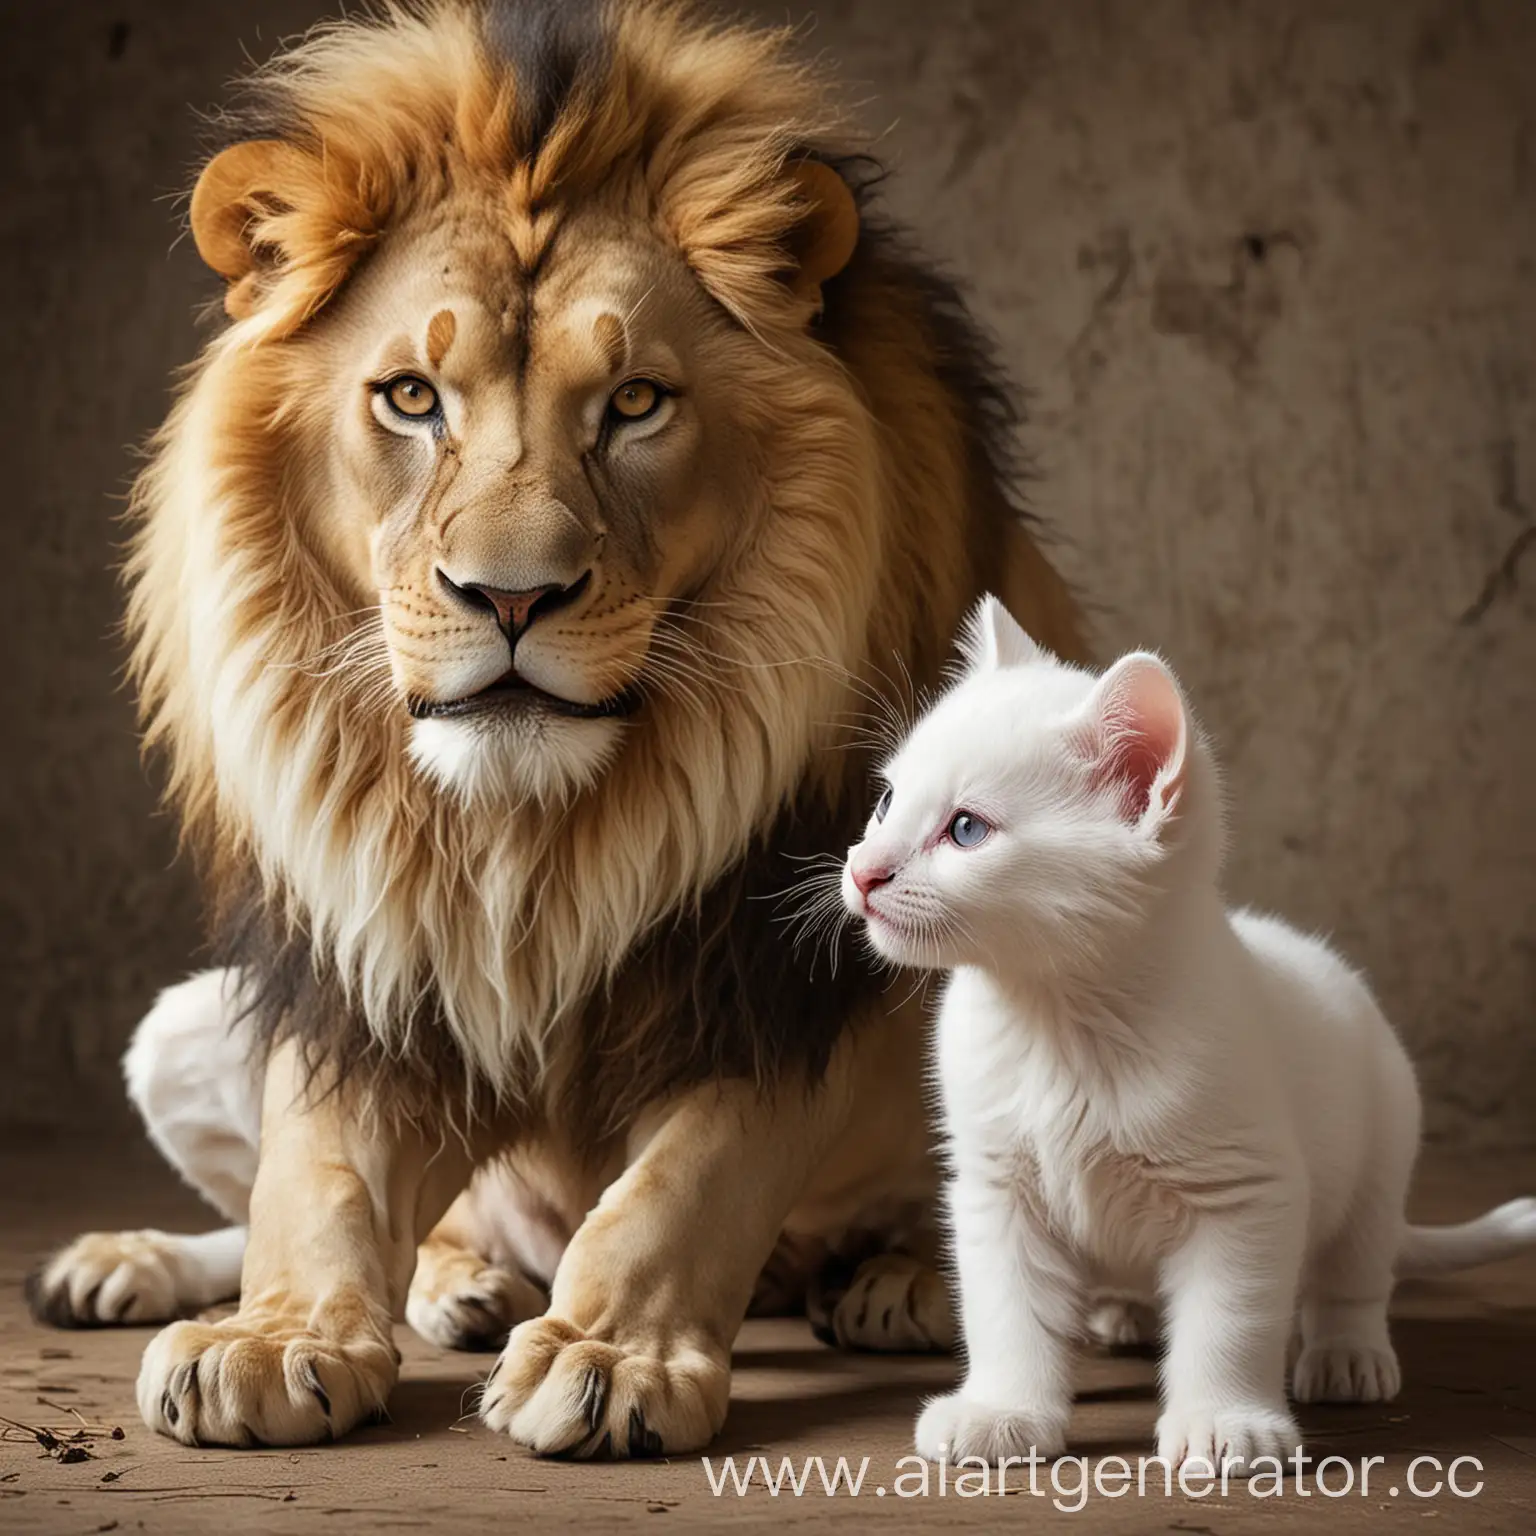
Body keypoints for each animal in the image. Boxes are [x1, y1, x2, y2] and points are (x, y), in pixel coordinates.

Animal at [24, 0, 1087, 1449]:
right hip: (179, 1032)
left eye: (634, 403)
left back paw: (911, 1283)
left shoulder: (773, 961)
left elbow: (685, 1180)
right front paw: (273, 1336)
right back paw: (268, 1272)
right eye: (412, 397)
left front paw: (608, 1356)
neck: (526, 828)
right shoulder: (361, 945)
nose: (512, 596)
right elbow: (312, 1172)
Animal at [847, 595, 1536, 1474]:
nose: (863, 870)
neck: (1060, 1015)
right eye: (885, 802)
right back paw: (1124, 1312)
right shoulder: (997, 1187)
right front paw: (1004, 1410)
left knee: (1352, 1274)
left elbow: (1228, 1322)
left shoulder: (1245, 1193)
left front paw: (1225, 1421)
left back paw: (1347, 1355)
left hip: (1382, 1151)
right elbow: (1008, 1313)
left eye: (967, 830)